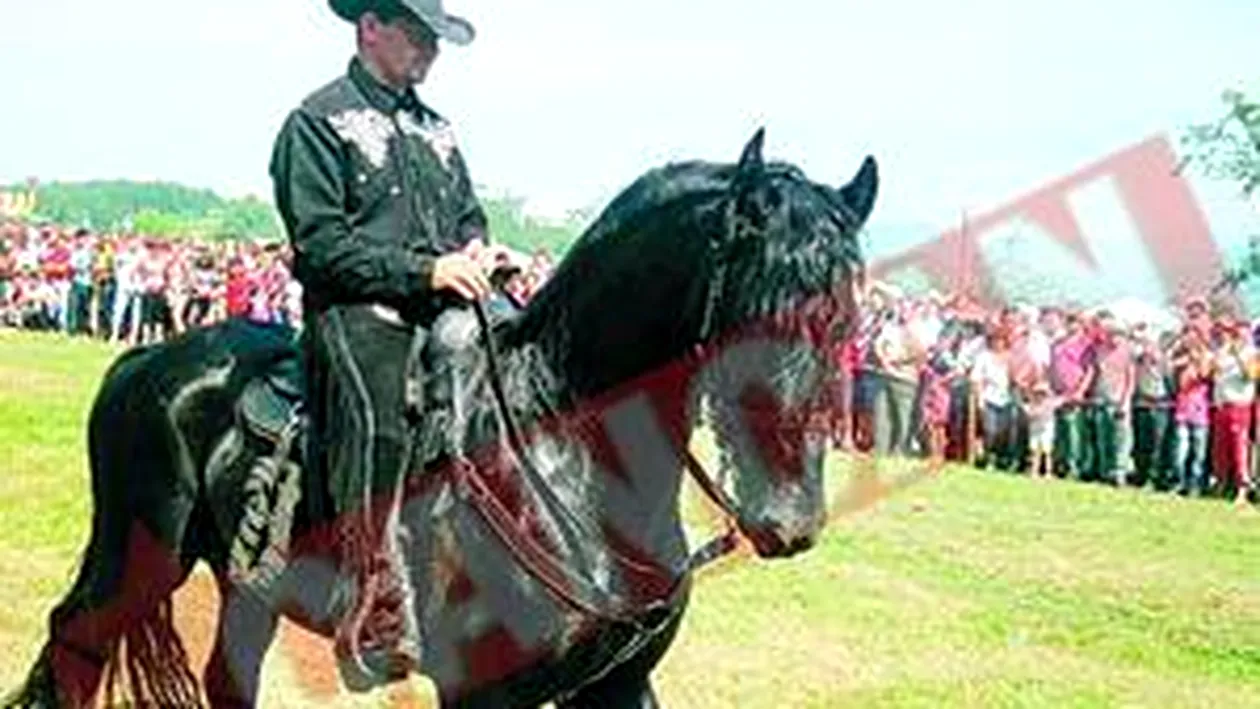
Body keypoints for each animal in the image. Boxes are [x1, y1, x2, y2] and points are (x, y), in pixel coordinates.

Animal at [7, 129, 876, 709]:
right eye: (752, 311)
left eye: (843, 317)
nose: (790, 518)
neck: (571, 460)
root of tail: (144, 361)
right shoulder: (481, 692)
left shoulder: (621, 684)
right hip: (139, 555)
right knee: (75, 640)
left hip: (245, 583)